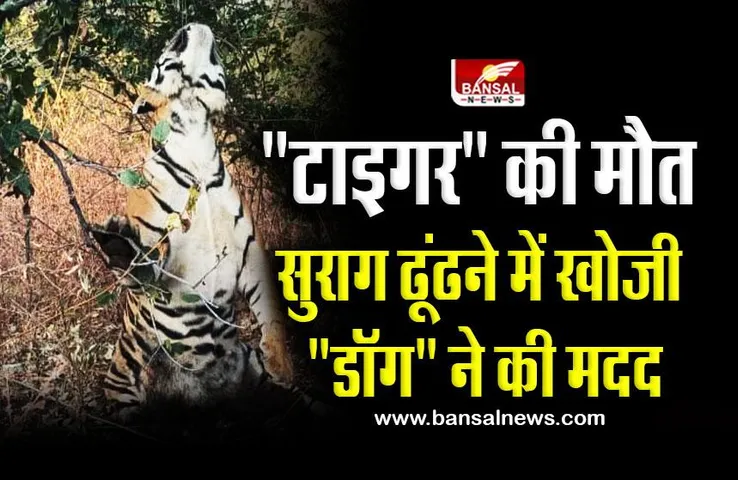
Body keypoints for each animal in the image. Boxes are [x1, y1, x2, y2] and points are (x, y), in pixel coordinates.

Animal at [91, 23, 326, 421]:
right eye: (170, 46)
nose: (190, 25)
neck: (196, 136)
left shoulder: (250, 253)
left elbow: (271, 307)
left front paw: (280, 361)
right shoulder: (158, 261)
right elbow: (140, 267)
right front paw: (117, 244)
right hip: (126, 393)